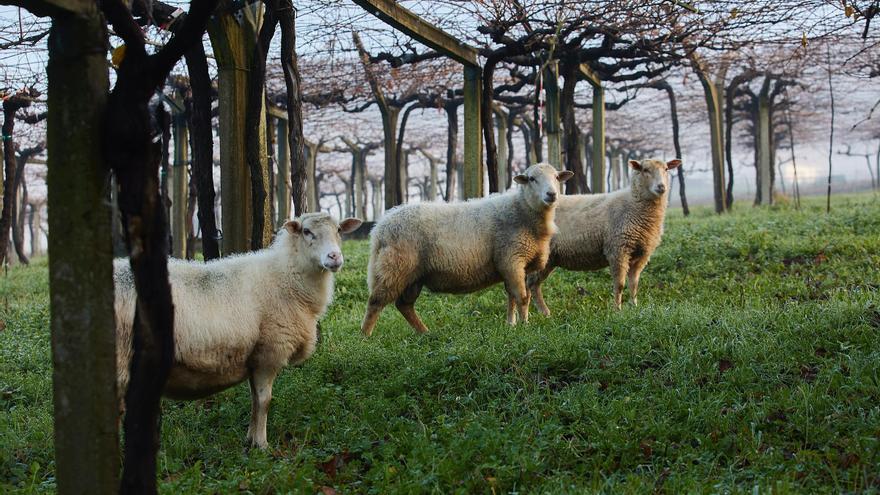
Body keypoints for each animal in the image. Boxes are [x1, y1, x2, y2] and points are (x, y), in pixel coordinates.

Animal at [113, 212, 360, 450]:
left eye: (339, 230)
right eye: (307, 231)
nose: (334, 257)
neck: (286, 276)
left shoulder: (254, 358)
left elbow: (254, 400)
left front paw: (250, 440)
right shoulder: (269, 352)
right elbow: (265, 400)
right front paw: (262, 445)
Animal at [360, 163, 576, 338]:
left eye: (556, 177)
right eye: (532, 179)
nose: (551, 194)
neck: (523, 212)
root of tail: (379, 228)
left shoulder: (515, 265)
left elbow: (512, 297)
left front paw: (511, 324)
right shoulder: (512, 259)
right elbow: (522, 298)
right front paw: (525, 325)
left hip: (413, 275)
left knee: (404, 305)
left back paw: (424, 332)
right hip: (395, 267)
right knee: (375, 302)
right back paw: (365, 337)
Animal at [524, 159, 684, 314]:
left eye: (666, 169)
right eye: (645, 170)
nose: (661, 187)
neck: (633, 204)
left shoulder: (641, 254)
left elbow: (634, 284)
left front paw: (635, 307)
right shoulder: (618, 250)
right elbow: (620, 284)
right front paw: (617, 311)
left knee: (531, 284)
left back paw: (541, 313)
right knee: (531, 284)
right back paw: (540, 312)